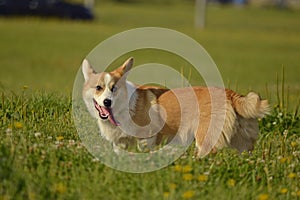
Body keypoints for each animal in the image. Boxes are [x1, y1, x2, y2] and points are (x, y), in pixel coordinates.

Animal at [82, 57, 270, 157]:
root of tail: (230, 93)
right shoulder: (120, 144)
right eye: (98, 88)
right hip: (242, 142)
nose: (107, 102)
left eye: (114, 88)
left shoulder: (147, 138)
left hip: (205, 139)